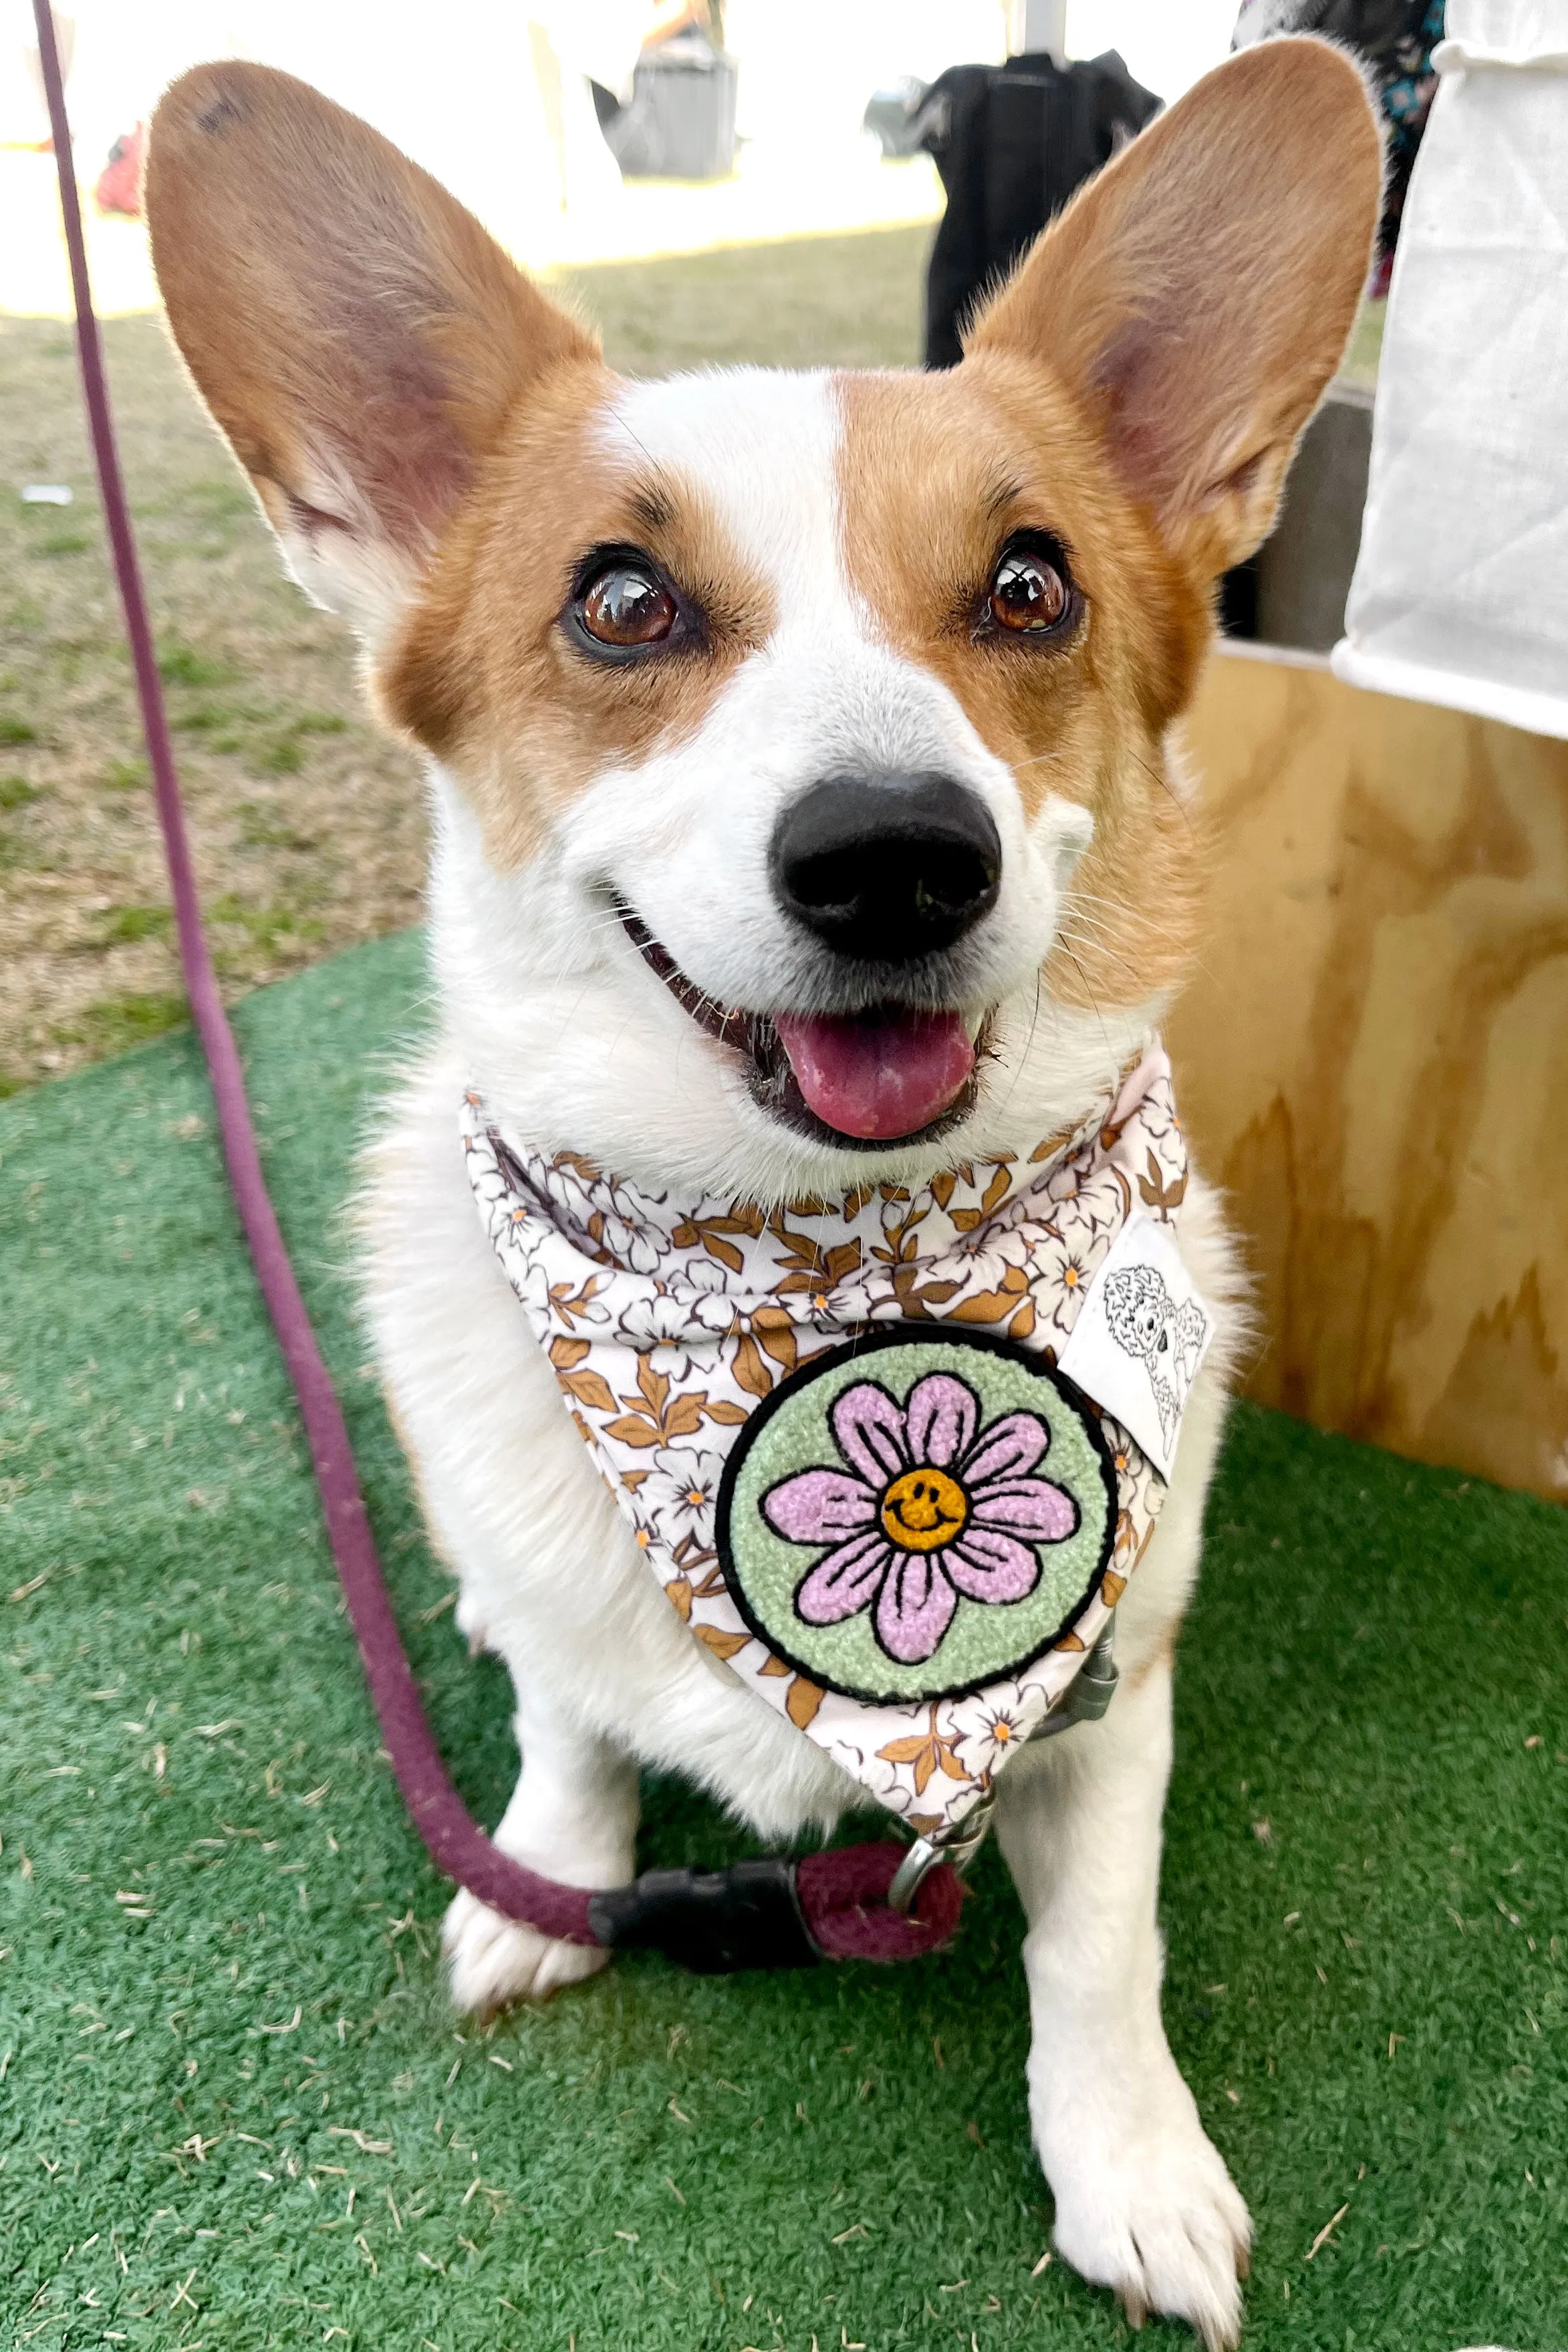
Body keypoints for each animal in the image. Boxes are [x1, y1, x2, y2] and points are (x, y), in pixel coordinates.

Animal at [144, 45, 1373, 2342]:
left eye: (1029, 585)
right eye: (620, 601)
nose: (894, 857)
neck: (802, 1273)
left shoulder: (1113, 1693)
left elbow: (1099, 1946)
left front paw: (1132, 2166)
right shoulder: (573, 1617)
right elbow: (567, 1735)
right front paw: (553, 1886)